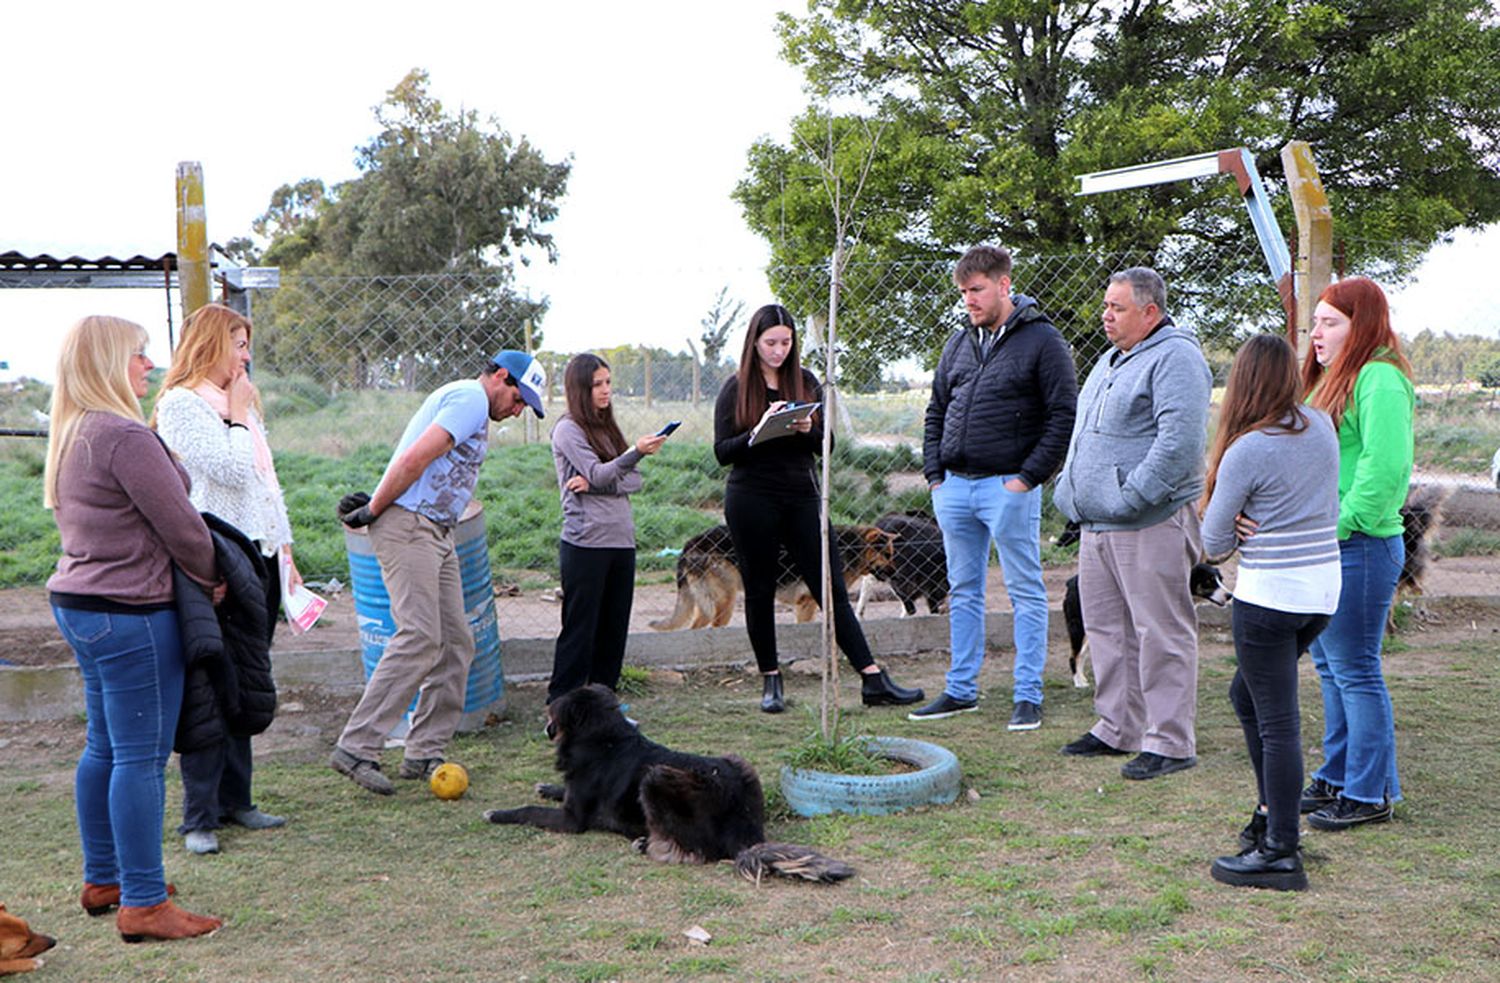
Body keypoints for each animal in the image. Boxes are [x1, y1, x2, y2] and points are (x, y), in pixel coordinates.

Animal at [486, 684, 852, 882]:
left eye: (551, 714)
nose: (545, 724)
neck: (605, 737)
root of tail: (745, 834)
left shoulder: (571, 820)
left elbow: (529, 810)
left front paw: (497, 813)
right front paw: (547, 787)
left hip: (656, 777)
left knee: (699, 851)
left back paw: (646, 844)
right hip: (739, 762)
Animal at [651, 522, 894, 630]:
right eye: (887, 555)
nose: (896, 572)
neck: (851, 548)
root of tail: (691, 543)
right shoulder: (806, 603)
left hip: (711, 603)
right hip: (724, 601)